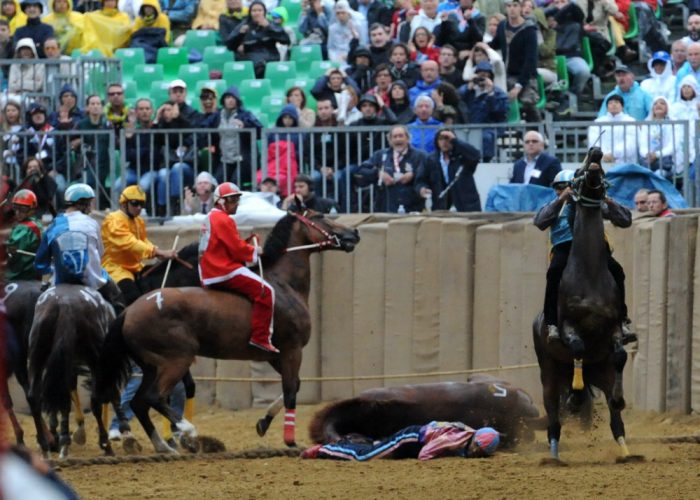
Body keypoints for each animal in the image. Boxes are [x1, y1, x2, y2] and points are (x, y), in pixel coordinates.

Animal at [28, 286, 121, 458]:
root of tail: (63, 304)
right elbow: (99, 399)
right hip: (93, 357)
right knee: (95, 399)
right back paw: (104, 442)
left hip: (37, 355)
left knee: (34, 397)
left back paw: (46, 446)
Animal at [97, 207, 360, 454]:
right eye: (320, 216)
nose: (354, 233)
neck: (284, 285)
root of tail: (129, 310)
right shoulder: (292, 350)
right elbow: (290, 392)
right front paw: (290, 440)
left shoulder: (276, 355)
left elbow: (294, 386)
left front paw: (264, 422)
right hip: (176, 360)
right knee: (154, 397)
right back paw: (187, 431)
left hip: (152, 365)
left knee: (139, 402)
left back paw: (163, 445)